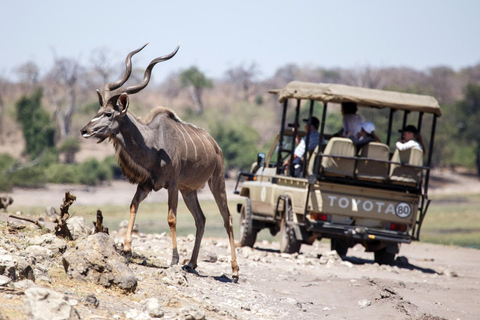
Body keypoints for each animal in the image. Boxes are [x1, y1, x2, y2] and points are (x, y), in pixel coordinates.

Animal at [82, 44, 242, 280]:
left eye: (109, 113)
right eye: (98, 111)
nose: (84, 130)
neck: (154, 142)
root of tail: (216, 146)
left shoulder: (172, 184)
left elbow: (171, 218)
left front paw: (174, 259)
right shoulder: (146, 184)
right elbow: (133, 205)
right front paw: (127, 249)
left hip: (216, 181)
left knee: (227, 218)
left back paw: (234, 271)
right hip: (189, 190)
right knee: (201, 219)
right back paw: (191, 263)